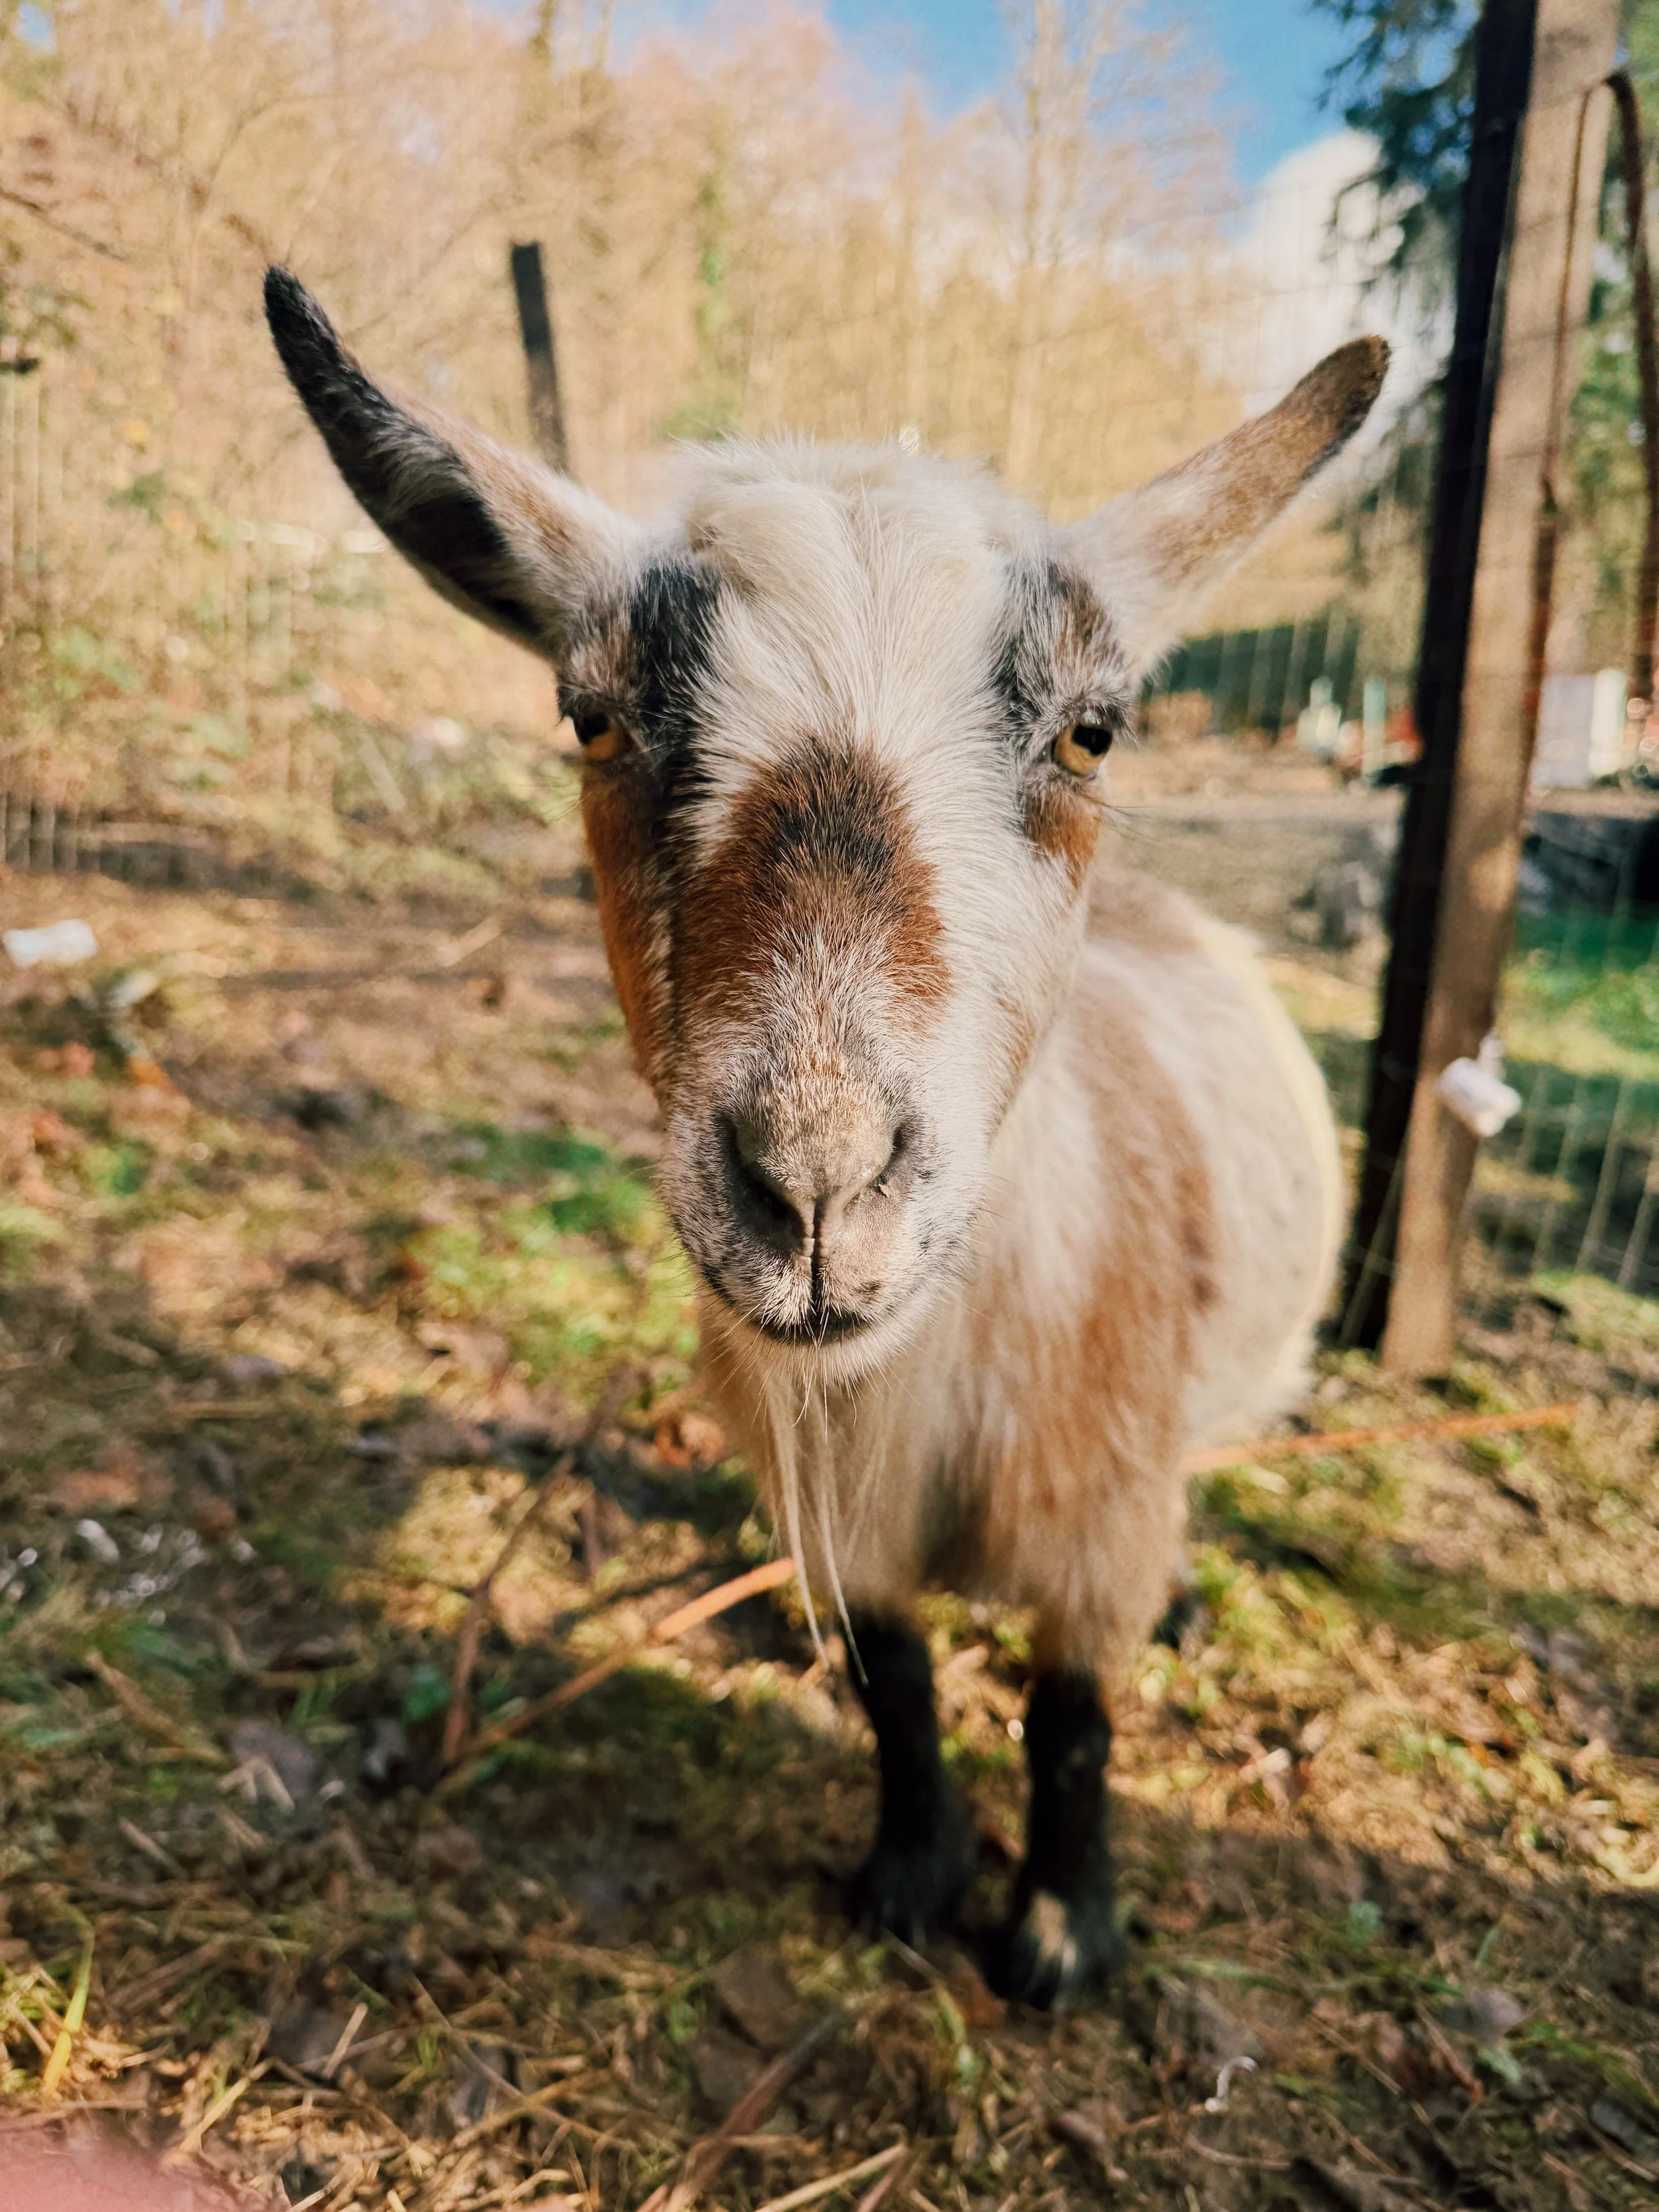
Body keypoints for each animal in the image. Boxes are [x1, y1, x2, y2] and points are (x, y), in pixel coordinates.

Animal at [265, 269, 1385, 2006]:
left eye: (1094, 730)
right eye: (591, 718)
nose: (814, 1183)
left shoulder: (1099, 1513)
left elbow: (1073, 1720)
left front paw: (1062, 1930)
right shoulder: (846, 1518)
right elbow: (899, 1686)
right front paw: (910, 1877)